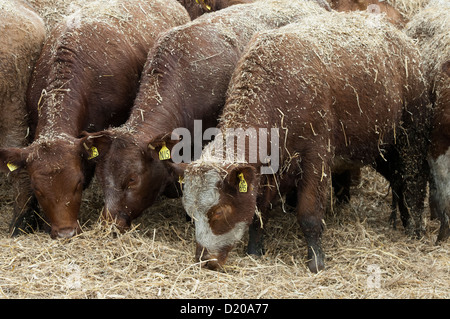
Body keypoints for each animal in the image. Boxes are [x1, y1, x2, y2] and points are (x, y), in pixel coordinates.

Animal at [182, 11, 432, 274]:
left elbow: (310, 215)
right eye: (191, 213)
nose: (204, 259)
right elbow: (259, 211)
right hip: (377, 147)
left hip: (411, 135)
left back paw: (415, 228)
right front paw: (254, 250)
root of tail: (404, 40)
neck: (279, 91)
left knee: (414, 179)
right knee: (398, 179)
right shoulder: (268, 171)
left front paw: (316, 260)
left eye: (219, 211)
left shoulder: (316, 160)